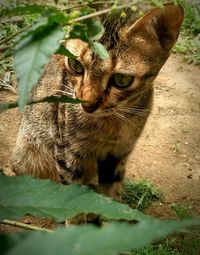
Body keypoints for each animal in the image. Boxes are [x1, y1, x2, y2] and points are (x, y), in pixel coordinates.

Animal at [10, 2, 183, 202]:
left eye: (122, 79)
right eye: (75, 65)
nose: (87, 104)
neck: (113, 125)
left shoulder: (117, 154)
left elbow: (111, 193)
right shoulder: (67, 153)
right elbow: (75, 200)